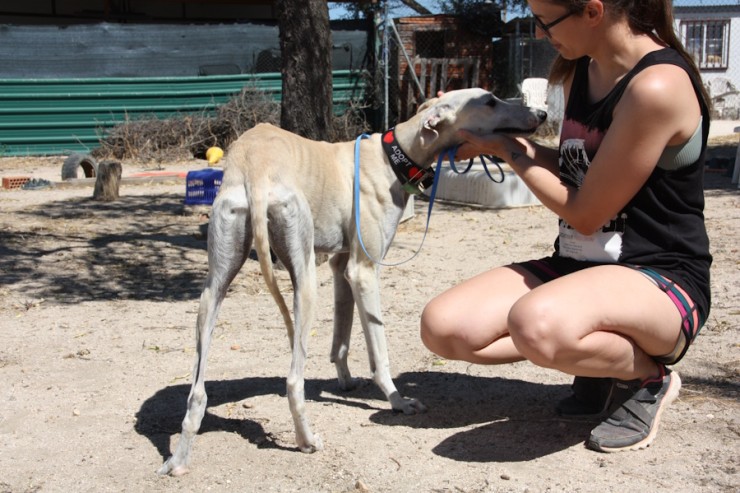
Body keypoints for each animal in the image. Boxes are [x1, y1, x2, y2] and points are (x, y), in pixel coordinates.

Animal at [160, 87, 544, 472]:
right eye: (490, 100)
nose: (541, 114)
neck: (395, 155)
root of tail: (256, 165)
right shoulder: (364, 272)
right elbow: (379, 351)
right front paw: (398, 401)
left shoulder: (342, 266)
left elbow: (341, 340)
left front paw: (345, 381)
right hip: (305, 281)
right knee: (293, 380)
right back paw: (306, 441)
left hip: (214, 288)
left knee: (197, 391)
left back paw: (178, 460)